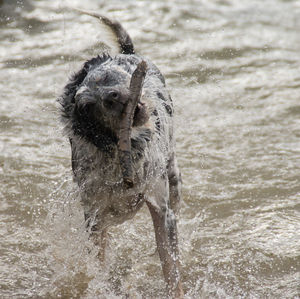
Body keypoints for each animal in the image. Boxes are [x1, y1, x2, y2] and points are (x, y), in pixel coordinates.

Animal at [56, 11, 183, 299]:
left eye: (106, 79)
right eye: (89, 105)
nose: (113, 97)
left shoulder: (160, 207)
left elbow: (170, 267)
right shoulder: (94, 218)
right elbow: (101, 264)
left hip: (172, 174)